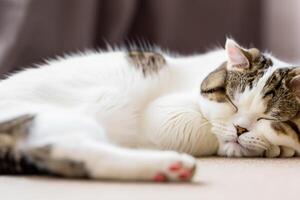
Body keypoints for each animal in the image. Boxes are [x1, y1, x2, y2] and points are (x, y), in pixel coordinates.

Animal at [0, 38, 298, 181]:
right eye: (231, 102)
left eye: (268, 117)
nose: (240, 128)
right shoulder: (167, 114)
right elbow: (205, 129)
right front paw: (266, 147)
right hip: (57, 119)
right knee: (72, 147)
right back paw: (171, 164)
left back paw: (168, 170)